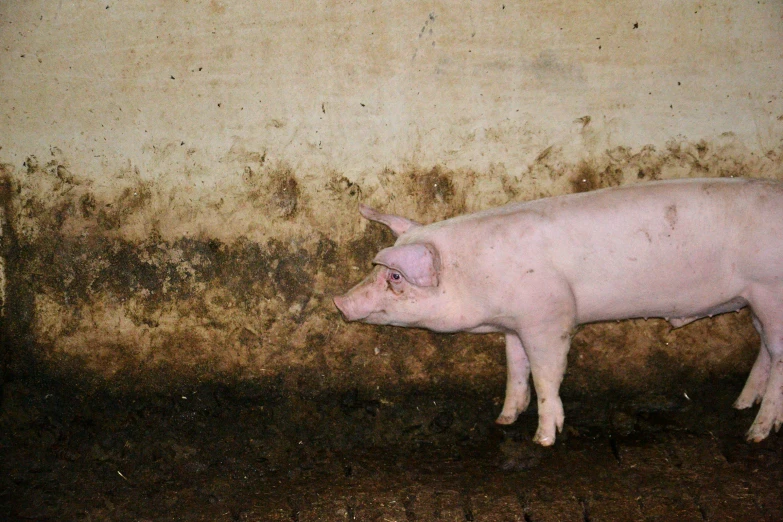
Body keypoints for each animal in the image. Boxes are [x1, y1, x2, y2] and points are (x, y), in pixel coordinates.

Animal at [334, 178, 783, 442]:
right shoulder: (514, 325)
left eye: (395, 277)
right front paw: (504, 419)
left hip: (771, 291)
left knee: (779, 356)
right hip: (756, 301)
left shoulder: (549, 317)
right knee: (765, 348)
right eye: (377, 271)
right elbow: (516, 368)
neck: (476, 274)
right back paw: (742, 404)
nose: (339, 301)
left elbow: (546, 374)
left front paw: (543, 438)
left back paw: (757, 433)